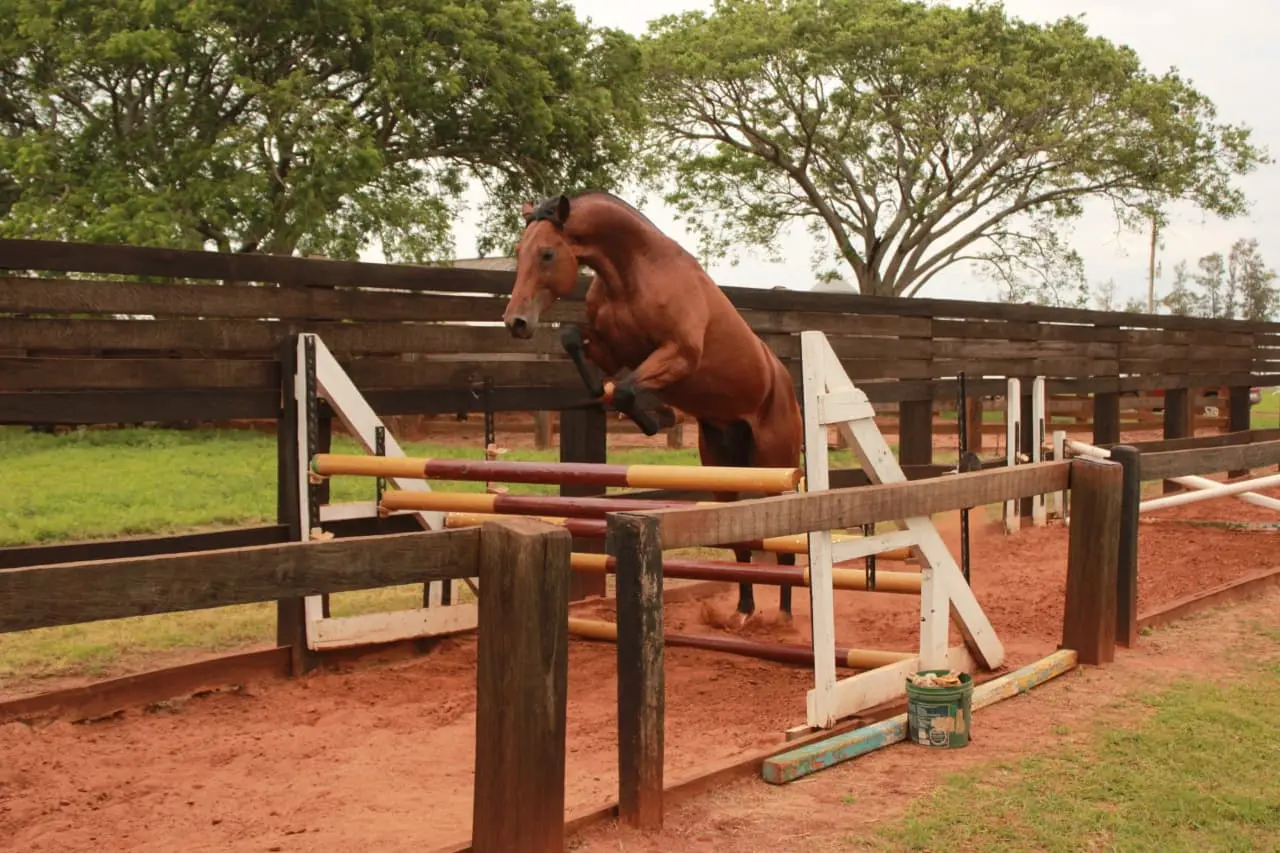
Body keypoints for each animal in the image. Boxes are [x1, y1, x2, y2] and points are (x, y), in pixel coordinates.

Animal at [501, 191, 805, 621]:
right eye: (518, 251)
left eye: (546, 253)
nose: (516, 322)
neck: (632, 274)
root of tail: (784, 384)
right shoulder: (612, 349)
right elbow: (573, 339)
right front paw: (606, 397)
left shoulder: (679, 355)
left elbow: (627, 391)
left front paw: (654, 416)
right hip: (724, 469)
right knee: (741, 537)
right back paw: (744, 610)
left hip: (773, 468)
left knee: (786, 541)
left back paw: (784, 614)